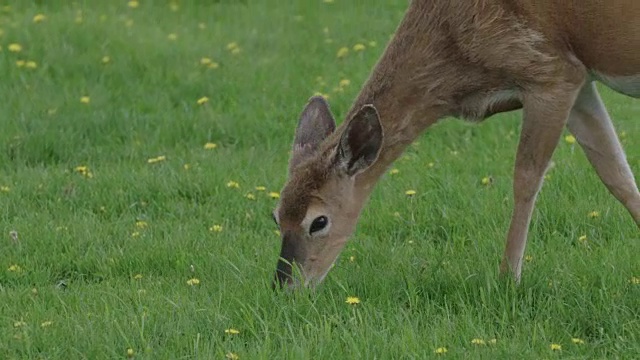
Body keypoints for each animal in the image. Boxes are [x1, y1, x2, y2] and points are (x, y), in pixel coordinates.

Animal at [272, 0, 640, 288]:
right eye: (275, 217)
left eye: (319, 221)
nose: (284, 287)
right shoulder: (580, 81)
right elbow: (617, 174)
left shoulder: (549, 73)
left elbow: (526, 179)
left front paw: (508, 280)